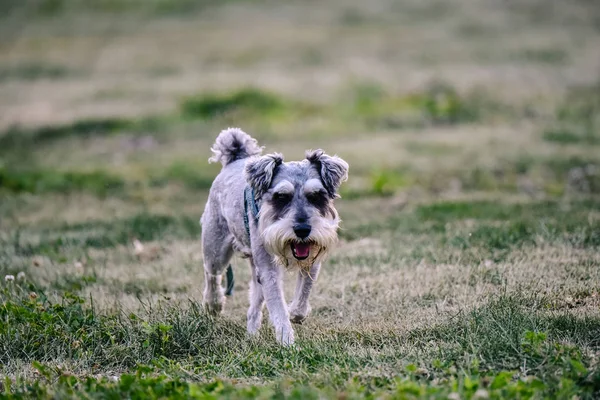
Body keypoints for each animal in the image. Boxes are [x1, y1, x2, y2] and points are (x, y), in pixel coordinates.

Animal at [199, 127, 350, 344]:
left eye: (316, 196)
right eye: (281, 197)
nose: (302, 229)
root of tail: (235, 159)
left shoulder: (312, 261)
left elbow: (304, 291)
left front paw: (296, 313)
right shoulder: (269, 270)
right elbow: (277, 306)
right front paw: (287, 342)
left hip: (255, 267)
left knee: (254, 302)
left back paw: (251, 334)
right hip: (216, 249)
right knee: (211, 273)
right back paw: (214, 304)